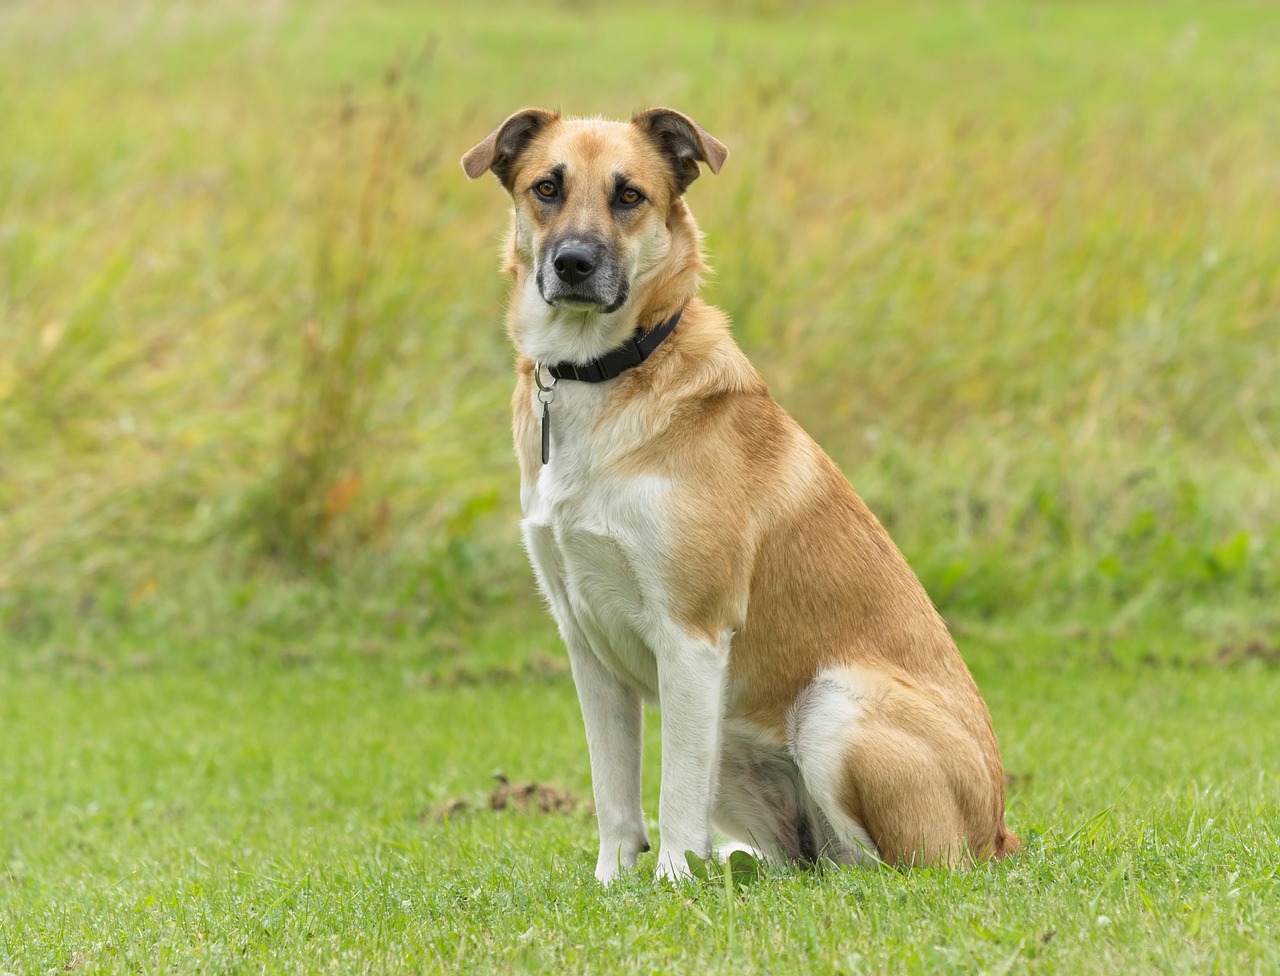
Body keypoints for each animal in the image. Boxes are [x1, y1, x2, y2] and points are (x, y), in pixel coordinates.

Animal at [463, 108, 1018, 881]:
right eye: (547, 187)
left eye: (629, 195)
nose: (573, 262)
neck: (602, 374)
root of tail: (999, 831)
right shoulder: (586, 644)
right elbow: (614, 794)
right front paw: (612, 883)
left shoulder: (691, 636)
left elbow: (673, 792)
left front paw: (671, 881)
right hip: (734, 737)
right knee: (803, 856)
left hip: (831, 708)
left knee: (886, 868)